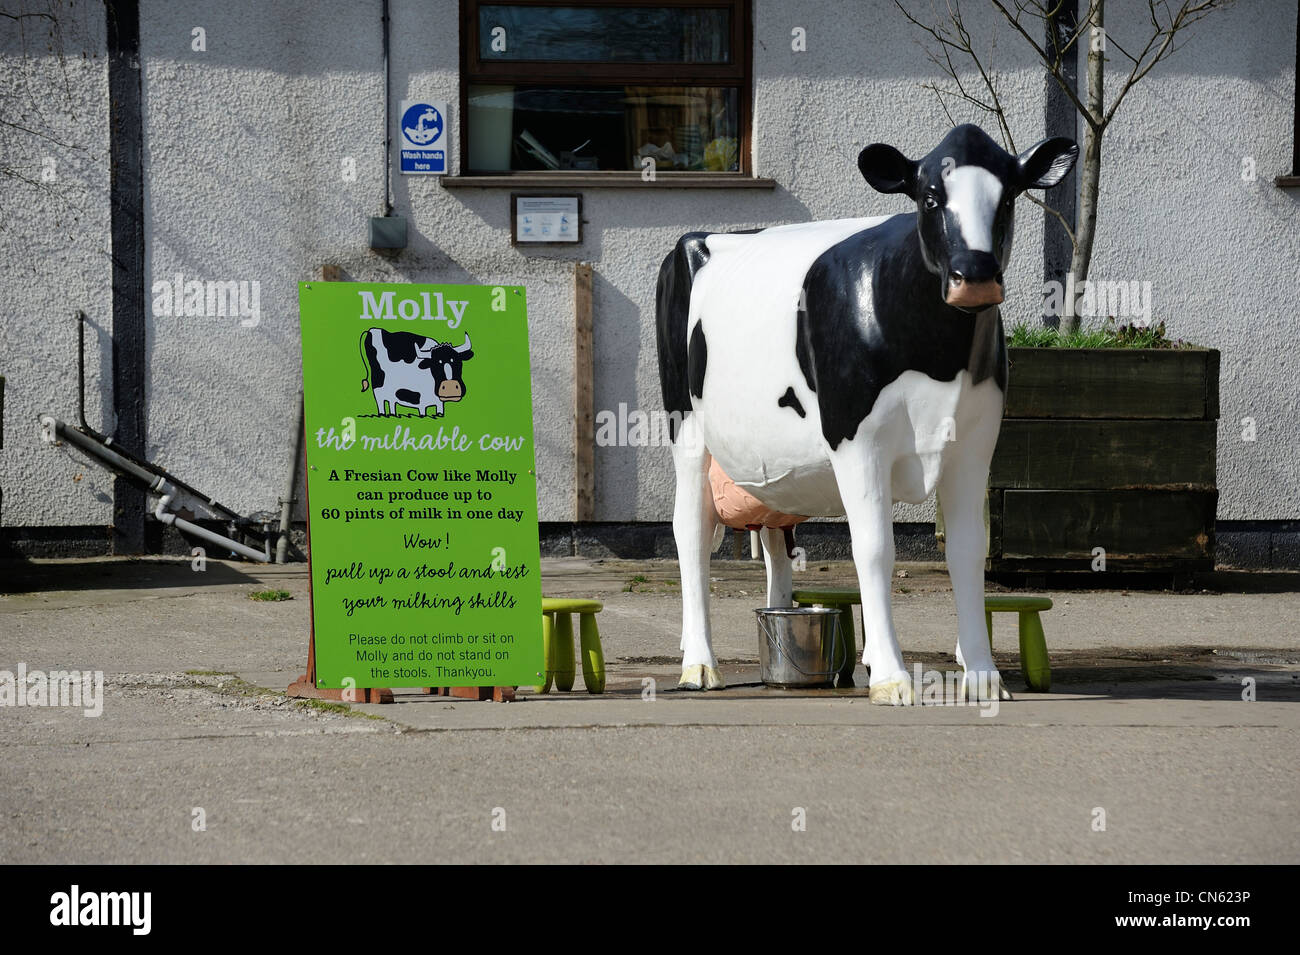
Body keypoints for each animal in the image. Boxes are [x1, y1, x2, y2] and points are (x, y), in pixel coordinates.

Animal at [660, 125, 1076, 701]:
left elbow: (967, 553)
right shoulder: (858, 440)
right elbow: (875, 549)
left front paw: (982, 674)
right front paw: (892, 676)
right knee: (691, 534)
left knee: (776, 544)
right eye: (929, 197)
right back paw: (699, 664)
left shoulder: (975, 443)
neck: (938, 354)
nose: (975, 277)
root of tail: (702, 238)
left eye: (1010, 196)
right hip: (687, 430)